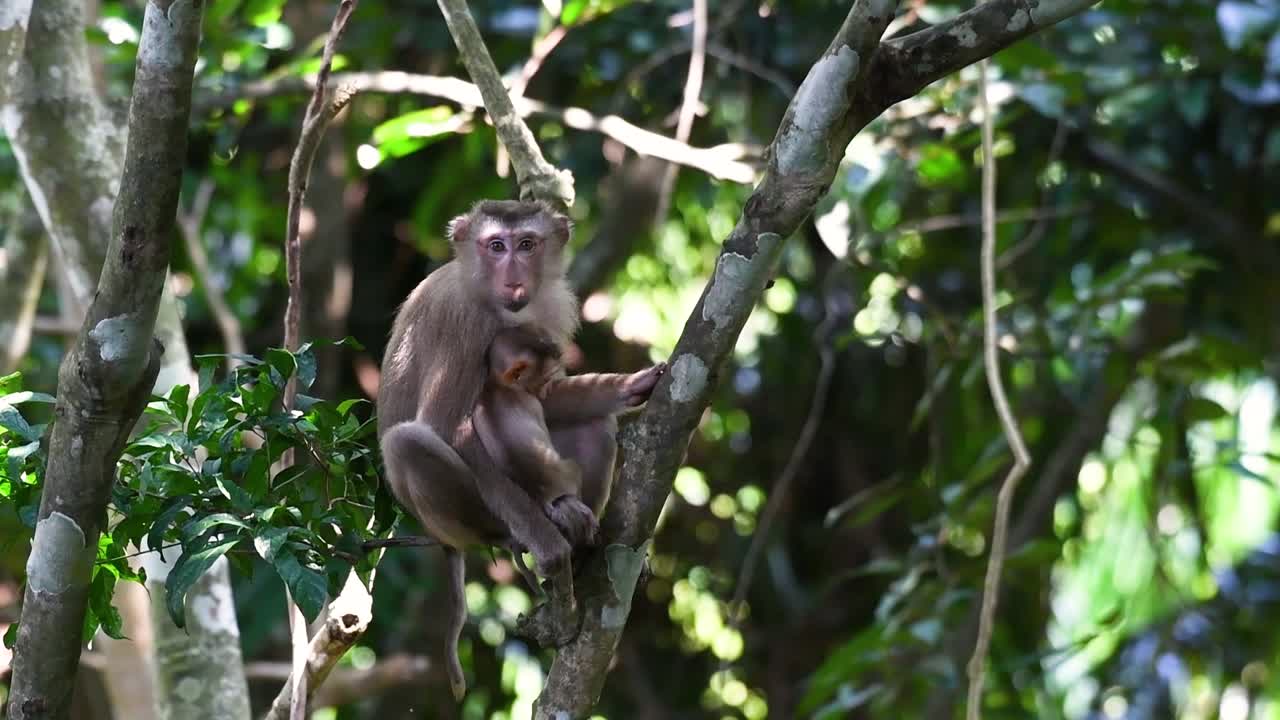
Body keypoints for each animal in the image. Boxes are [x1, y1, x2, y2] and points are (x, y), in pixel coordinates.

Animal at [376, 199, 666, 700]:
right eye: (496, 246)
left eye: (527, 244)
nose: (514, 279)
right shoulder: (465, 326)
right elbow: (446, 427)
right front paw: (549, 546)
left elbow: (547, 397)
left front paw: (631, 386)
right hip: (467, 517)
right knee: (407, 442)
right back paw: (524, 533)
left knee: (595, 424)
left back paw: (578, 533)